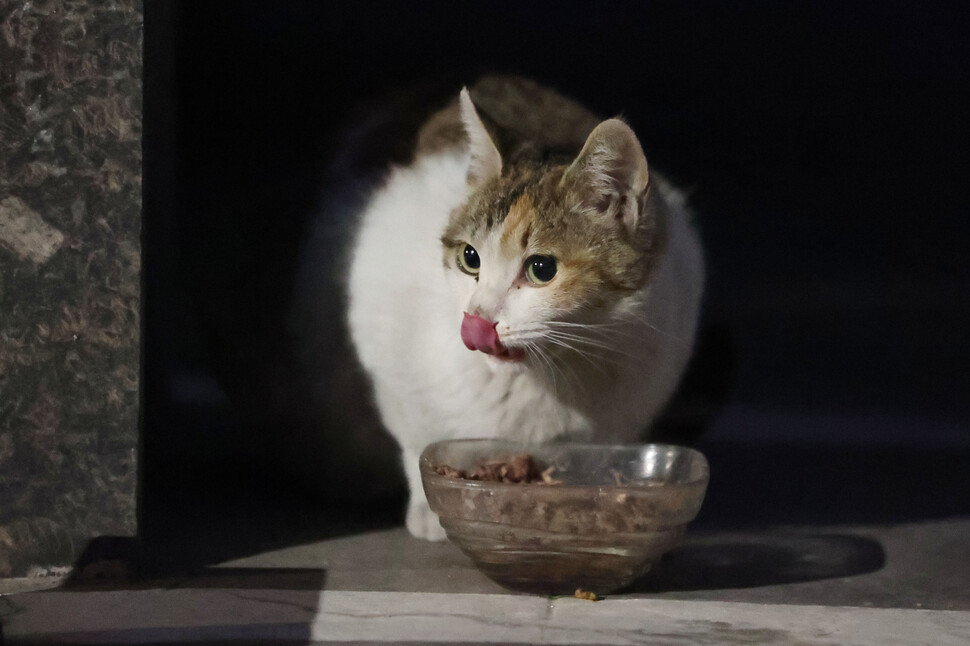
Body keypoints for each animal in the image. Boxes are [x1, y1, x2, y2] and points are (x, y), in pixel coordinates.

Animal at [342, 77, 704, 540]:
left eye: (541, 269)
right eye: (470, 258)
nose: (477, 321)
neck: (542, 377)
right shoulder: (383, 340)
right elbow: (414, 436)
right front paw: (427, 506)